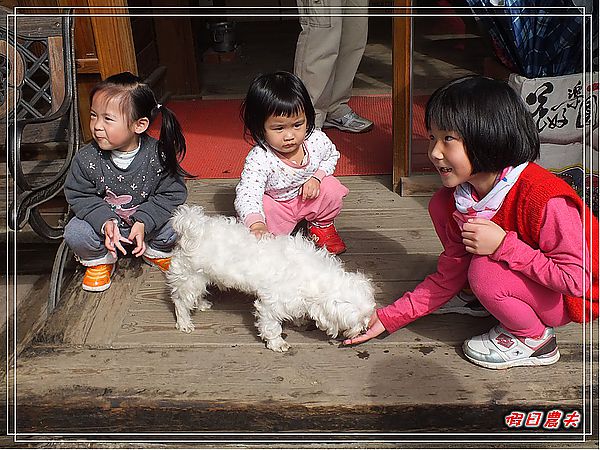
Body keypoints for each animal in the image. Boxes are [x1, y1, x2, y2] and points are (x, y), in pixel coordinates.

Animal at [165, 204, 376, 352]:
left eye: (367, 317)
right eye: (356, 322)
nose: (364, 329)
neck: (315, 275)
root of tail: (194, 226)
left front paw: (298, 319)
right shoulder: (270, 305)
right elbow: (271, 326)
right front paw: (277, 343)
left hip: (200, 278)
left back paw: (201, 304)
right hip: (190, 277)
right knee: (180, 301)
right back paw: (184, 323)